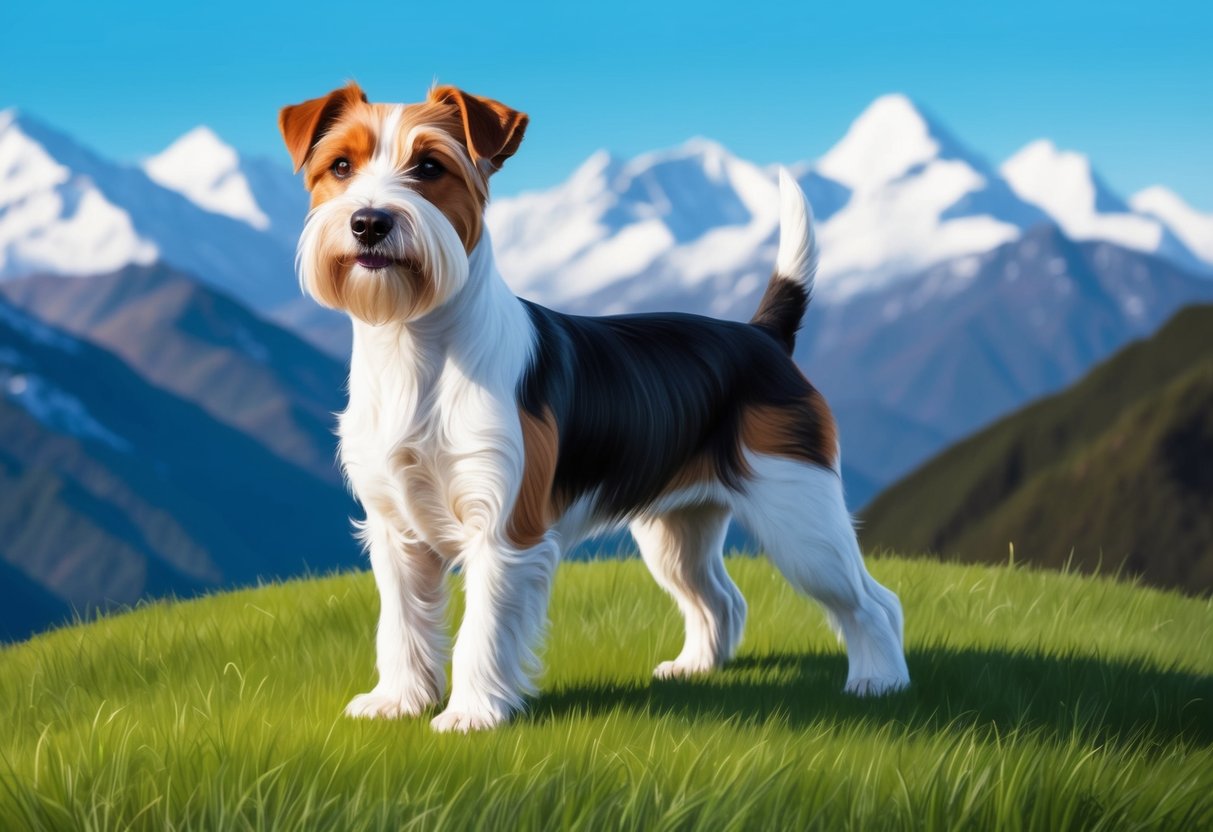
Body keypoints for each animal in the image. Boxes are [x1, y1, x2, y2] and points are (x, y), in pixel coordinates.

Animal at [278, 83, 912, 737]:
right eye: (341, 167)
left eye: (430, 167)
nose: (369, 222)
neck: (415, 344)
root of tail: (764, 336)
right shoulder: (396, 530)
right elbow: (402, 623)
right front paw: (399, 701)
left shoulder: (504, 528)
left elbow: (482, 630)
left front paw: (471, 715)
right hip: (677, 528)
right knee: (721, 599)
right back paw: (695, 668)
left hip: (800, 516)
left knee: (873, 601)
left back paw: (879, 681)